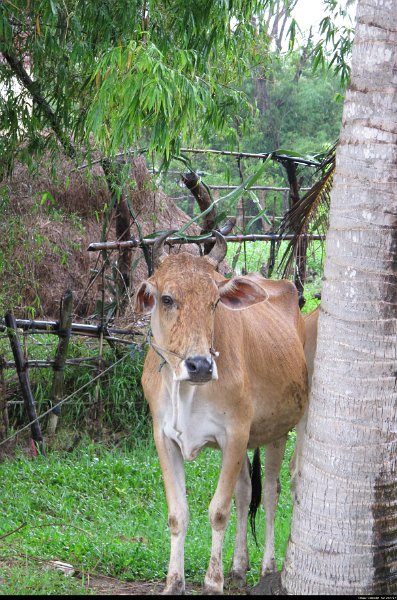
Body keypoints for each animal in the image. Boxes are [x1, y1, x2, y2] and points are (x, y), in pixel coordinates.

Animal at [135, 231, 308, 596]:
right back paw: (238, 567)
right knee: (245, 493)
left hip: (282, 430)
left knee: (272, 492)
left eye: (215, 301)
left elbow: (218, 511)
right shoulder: (164, 438)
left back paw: (267, 566)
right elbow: (178, 513)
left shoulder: (235, 434)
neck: (187, 390)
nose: (200, 365)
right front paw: (174, 581)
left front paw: (212, 582)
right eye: (167, 298)